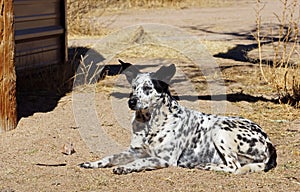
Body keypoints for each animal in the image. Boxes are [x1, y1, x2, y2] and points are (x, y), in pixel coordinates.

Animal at [79, 60, 276, 174]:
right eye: (133, 88)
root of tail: (268, 141)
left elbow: (141, 161)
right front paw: (93, 163)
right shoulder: (133, 151)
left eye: (148, 88)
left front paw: (125, 167)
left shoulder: (164, 159)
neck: (150, 124)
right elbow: (110, 157)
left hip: (219, 129)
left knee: (234, 167)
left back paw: (207, 166)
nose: (131, 101)